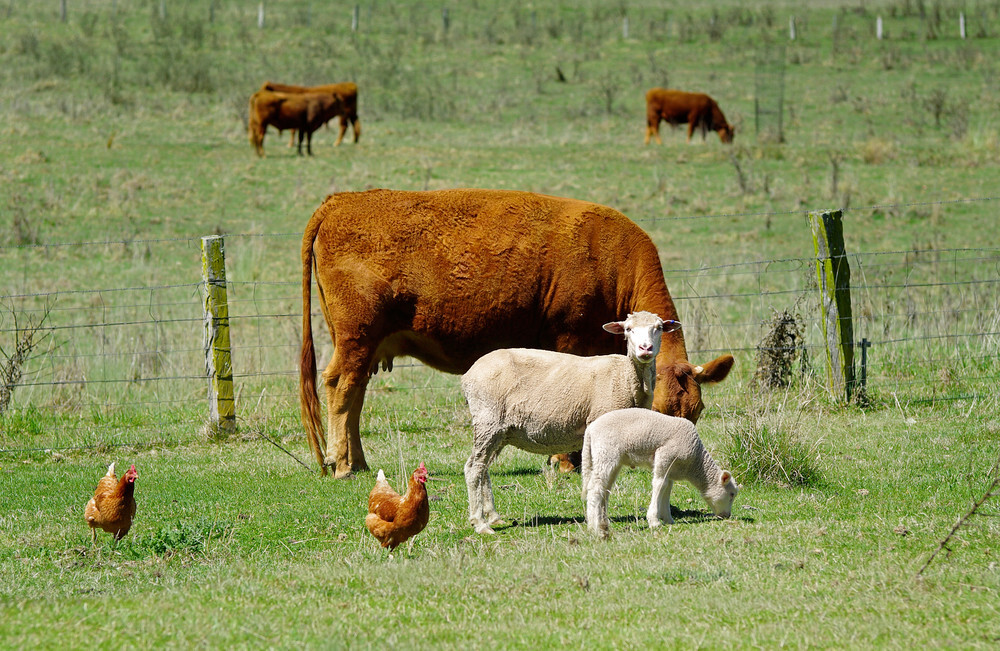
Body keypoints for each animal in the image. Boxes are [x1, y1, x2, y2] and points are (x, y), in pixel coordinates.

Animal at [300, 188, 735, 478]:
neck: (611, 260)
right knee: (341, 387)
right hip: (357, 337)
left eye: (695, 413)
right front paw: (565, 462)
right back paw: (343, 465)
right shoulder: (571, 339)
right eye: (658, 412)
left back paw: (358, 461)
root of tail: (340, 200)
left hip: (365, 345)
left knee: (355, 395)